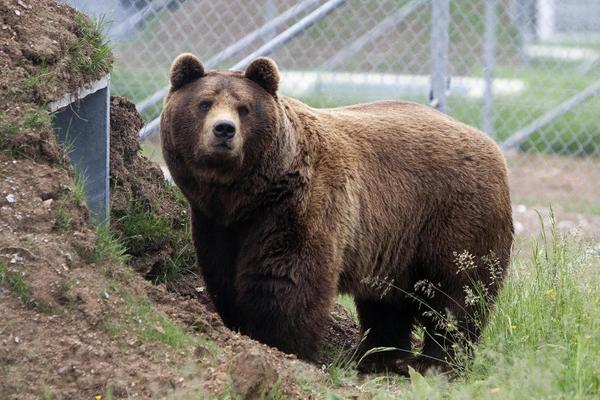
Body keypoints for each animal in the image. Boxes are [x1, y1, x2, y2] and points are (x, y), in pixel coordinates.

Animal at [162, 54, 512, 376]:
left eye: (244, 107)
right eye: (204, 103)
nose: (224, 129)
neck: (244, 196)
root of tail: (491, 145)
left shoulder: (299, 205)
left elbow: (287, 278)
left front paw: (281, 342)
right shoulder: (215, 223)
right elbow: (222, 274)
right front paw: (238, 324)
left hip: (456, 214)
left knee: (458, 292)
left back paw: (438, 362)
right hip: (397, 238)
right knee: (387, 302)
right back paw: (378, 356)